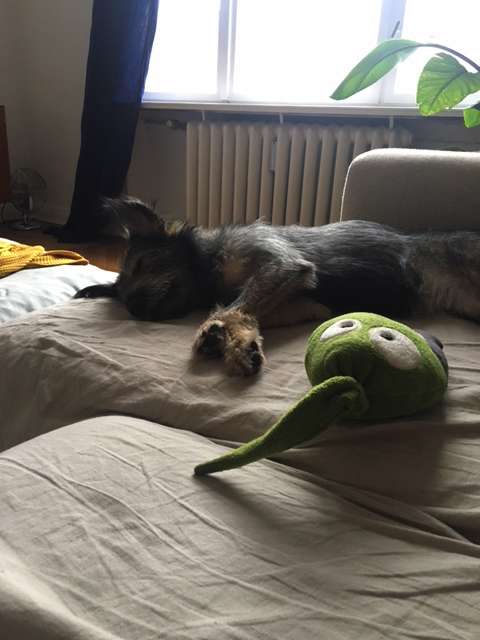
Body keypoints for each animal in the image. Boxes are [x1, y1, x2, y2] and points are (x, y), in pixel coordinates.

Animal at [76, 196, 480, 376]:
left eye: (143, 264)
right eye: (121, 297)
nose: (134, 308)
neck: (210, 268)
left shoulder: (281, 265)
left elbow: (234, 306)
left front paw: (220, 335)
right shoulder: (305, 304)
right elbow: (244, 312)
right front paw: (238, 340)